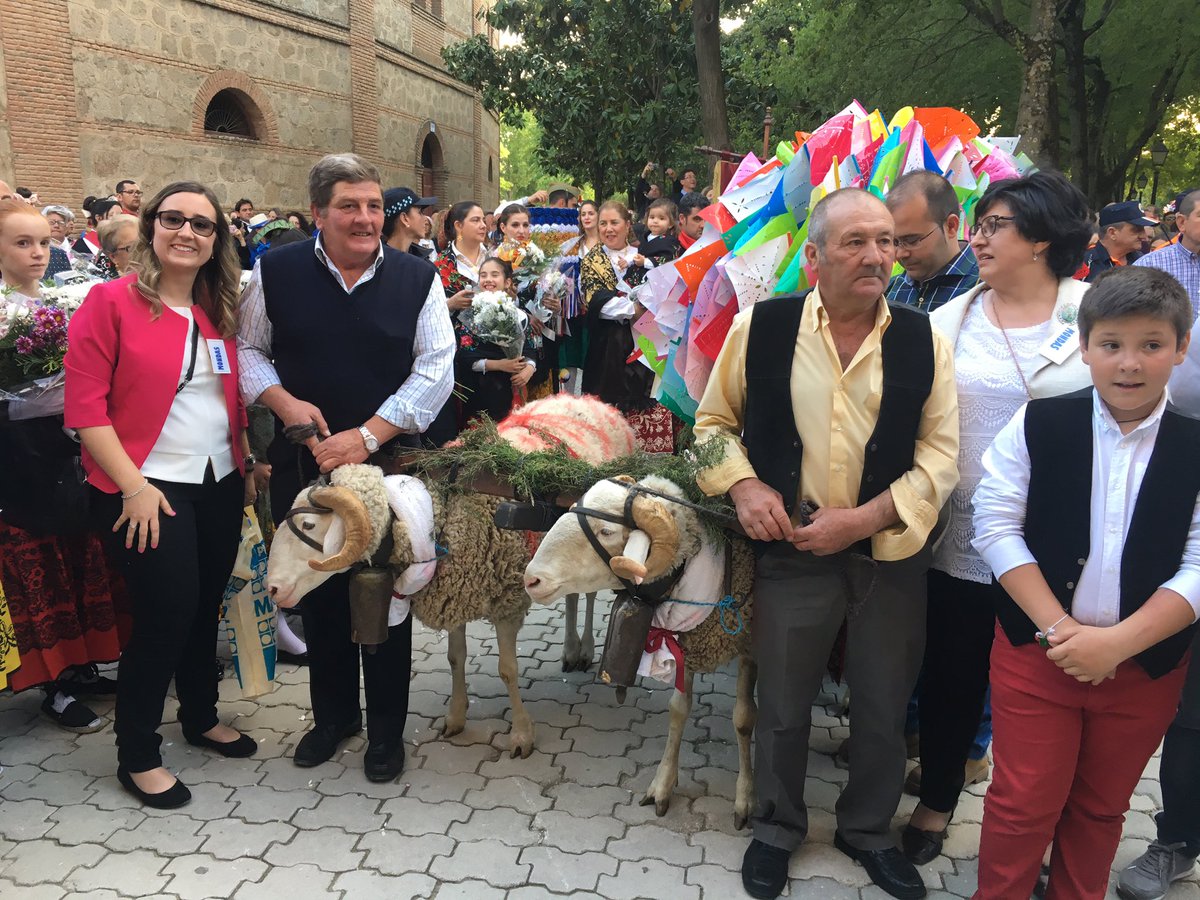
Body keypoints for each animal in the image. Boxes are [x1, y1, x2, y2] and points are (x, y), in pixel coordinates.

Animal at [272, 465, 540, 763]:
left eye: (308, 525)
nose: (272, 588)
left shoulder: (508, 604)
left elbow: (507, 671)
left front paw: (521, 735)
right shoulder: (456, 598)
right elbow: (455, 658)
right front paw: (456, 717)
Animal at [520, 475, 753, 830]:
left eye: (606, 531)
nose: (531, 579)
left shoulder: (752, 645)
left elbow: (743, 719)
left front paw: (744, 799)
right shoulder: (690, 642)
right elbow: (678, 710)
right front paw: (662, 786)